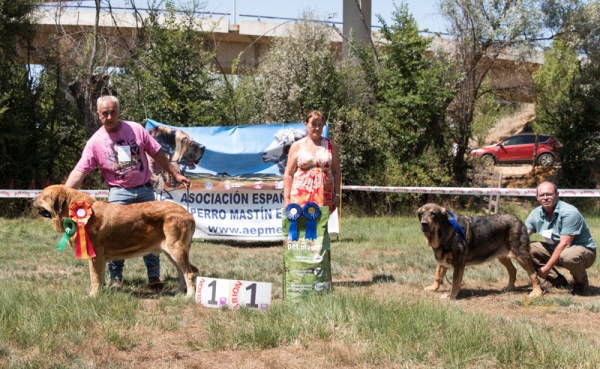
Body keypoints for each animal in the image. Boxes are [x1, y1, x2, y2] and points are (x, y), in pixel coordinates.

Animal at [34, 184, 198, 296]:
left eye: (43, 195)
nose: (33, 199)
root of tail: (188, 214)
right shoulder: (99, 258)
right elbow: (100, 276)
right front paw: (100, 292)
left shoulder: (95, 255)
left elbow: (94, 277)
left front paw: (93, 295)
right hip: (171, 253)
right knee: (182, 272)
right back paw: (178, 291)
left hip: (176, 249)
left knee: (189, 272)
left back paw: (189, 296)